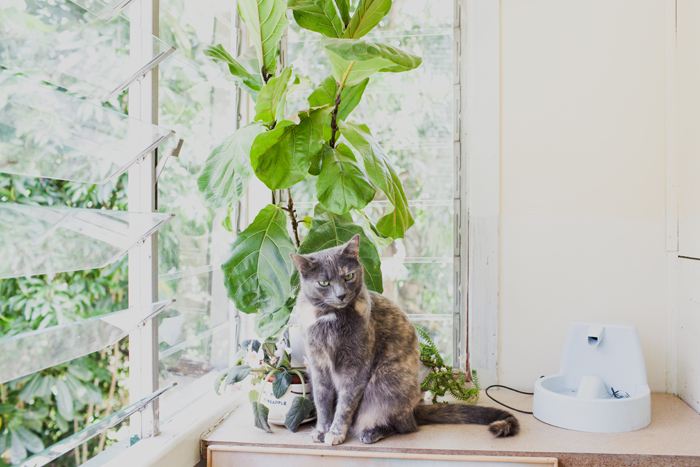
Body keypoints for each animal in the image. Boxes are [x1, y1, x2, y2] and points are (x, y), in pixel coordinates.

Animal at [290, 236, 520, 448]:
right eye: (324, 283)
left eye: (348, 276)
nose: (341, 295)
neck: (329, 319)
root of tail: (415, 409)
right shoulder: (317, 365)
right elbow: (322, 401)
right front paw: (322, 430)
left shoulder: (355, 366)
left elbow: (345, 404)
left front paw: (336, 432)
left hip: (385, 381)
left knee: (404, 426)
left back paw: (372, 432)